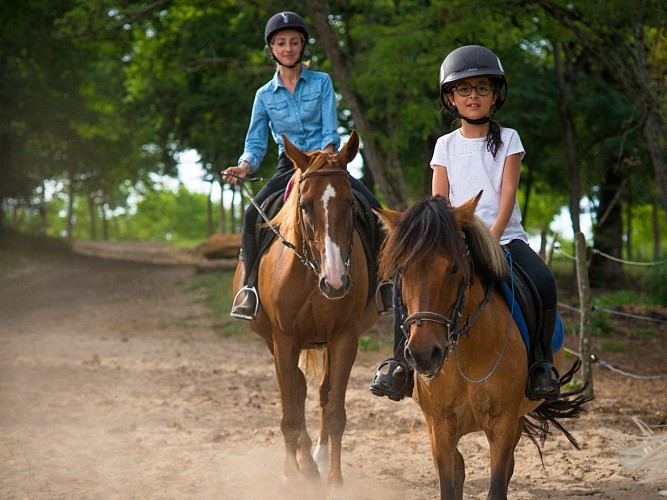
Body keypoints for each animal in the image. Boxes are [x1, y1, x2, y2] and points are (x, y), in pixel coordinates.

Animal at [234, 131, 380, 490]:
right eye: (305, 205)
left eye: (351, 204)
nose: (336, 282)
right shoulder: (284, 339)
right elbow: (290, 409)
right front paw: (290, 472)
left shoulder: (344, 338)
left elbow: (335, 410)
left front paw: (335, 481)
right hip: (273, 341)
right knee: (297, 391)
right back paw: (304, 464)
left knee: (321, 392)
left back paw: (318, 459)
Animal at [376, 194, 588, 500]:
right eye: (402, 271)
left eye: (454, 268)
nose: (423, 354)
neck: (466, 355)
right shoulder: (439, 427)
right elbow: (449, 483)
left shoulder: (503, 424)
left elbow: (498, 483)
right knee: (461, 465)